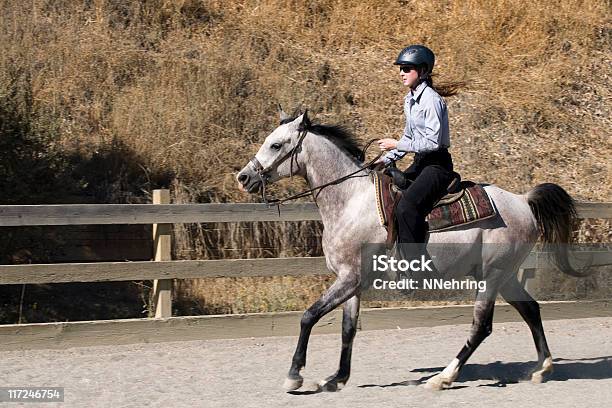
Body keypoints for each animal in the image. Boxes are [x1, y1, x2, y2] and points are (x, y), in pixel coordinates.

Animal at [235, 111, 584, 392]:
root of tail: (523, 201)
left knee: (481, 327)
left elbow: (309, 316)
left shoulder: (349, 279)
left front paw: (294, 376)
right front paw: (336, 378)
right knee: (531, 310)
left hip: (491, 277)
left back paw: (443, 377)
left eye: (276, 145)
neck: (351, 200)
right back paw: (541, 368)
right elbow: (348, 329)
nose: (244, 177)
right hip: (506, 277)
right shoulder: (353, 281)